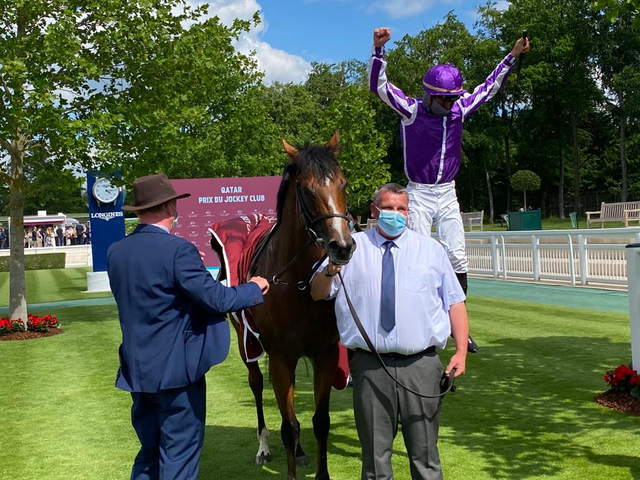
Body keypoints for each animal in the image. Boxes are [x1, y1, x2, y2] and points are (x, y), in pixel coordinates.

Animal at [235, 132, 356, 480]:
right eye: (306, 189)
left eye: (342, 183)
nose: (342, 246)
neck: (298, 282)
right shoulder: (280, 357)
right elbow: (288, 425)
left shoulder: (325, 353)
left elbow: (320, 421)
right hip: (245, 342)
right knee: (257, 385)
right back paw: (263, 446)